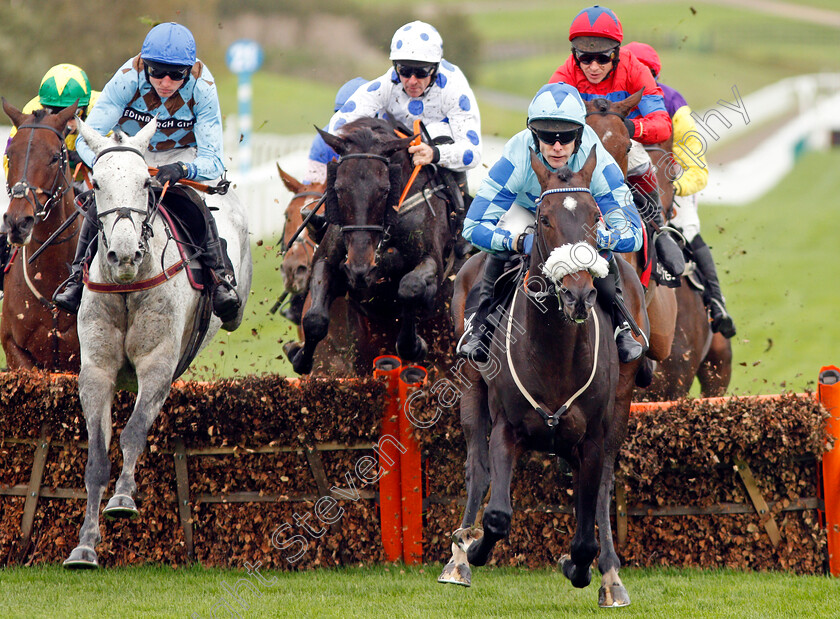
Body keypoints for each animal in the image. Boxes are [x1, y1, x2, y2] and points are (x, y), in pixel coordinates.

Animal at [436, 148, 648, 608]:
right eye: (544, 219)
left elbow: (586, 532)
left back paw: (610, 575)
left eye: (595, 217)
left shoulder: (593, 437)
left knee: (602, 489)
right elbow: (497, 515)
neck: (554, 355)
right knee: (476, 468)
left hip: (619, 406)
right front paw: (474, 550)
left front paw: (581, 567)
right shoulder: (507, 428)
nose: (579, 293)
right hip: (470, 386)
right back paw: (458, 559)